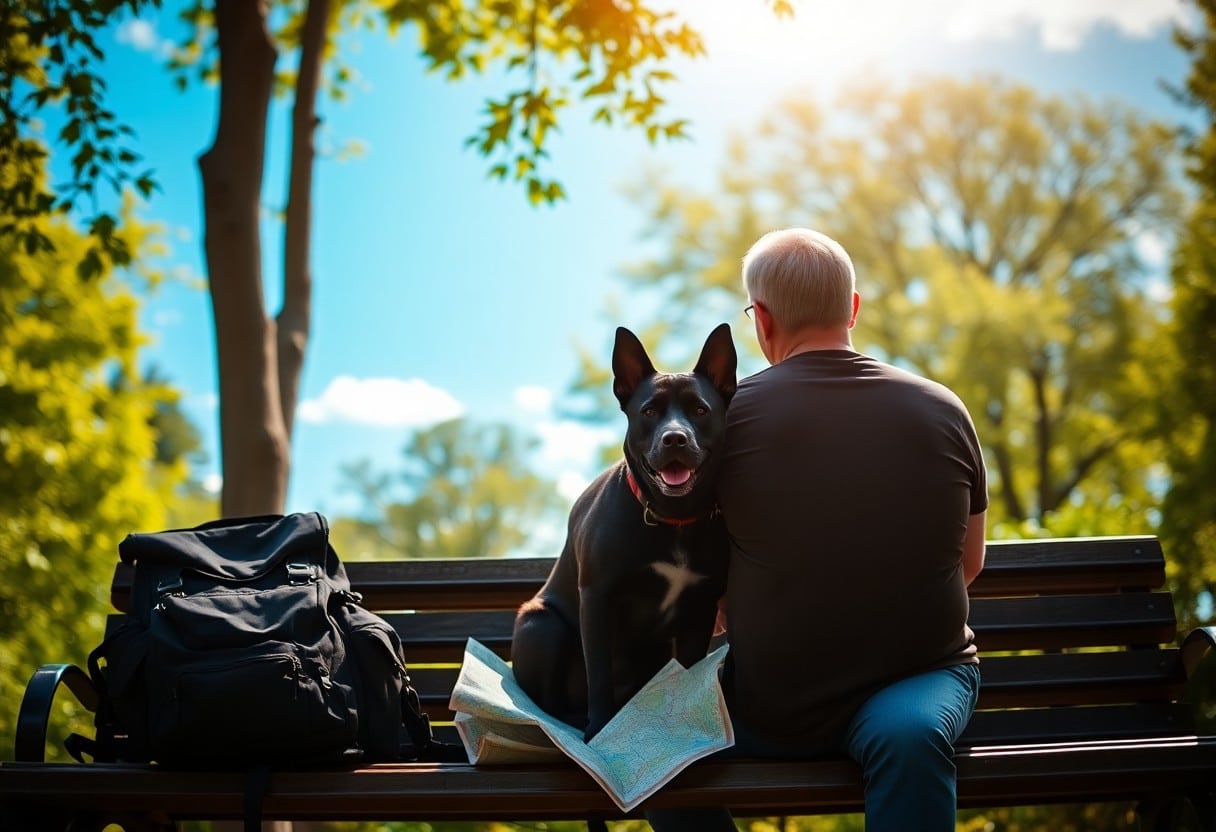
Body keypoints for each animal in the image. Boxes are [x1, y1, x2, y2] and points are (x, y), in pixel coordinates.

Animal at [510, 323, 734, 739]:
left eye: (700, 410)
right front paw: (599, 729)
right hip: (541, 625)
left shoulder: (699, 609)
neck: (672, 517)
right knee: (549, 705)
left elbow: (689, 670)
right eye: (649, 411)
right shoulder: (597, 599)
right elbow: (599, 676)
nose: (674, 438)